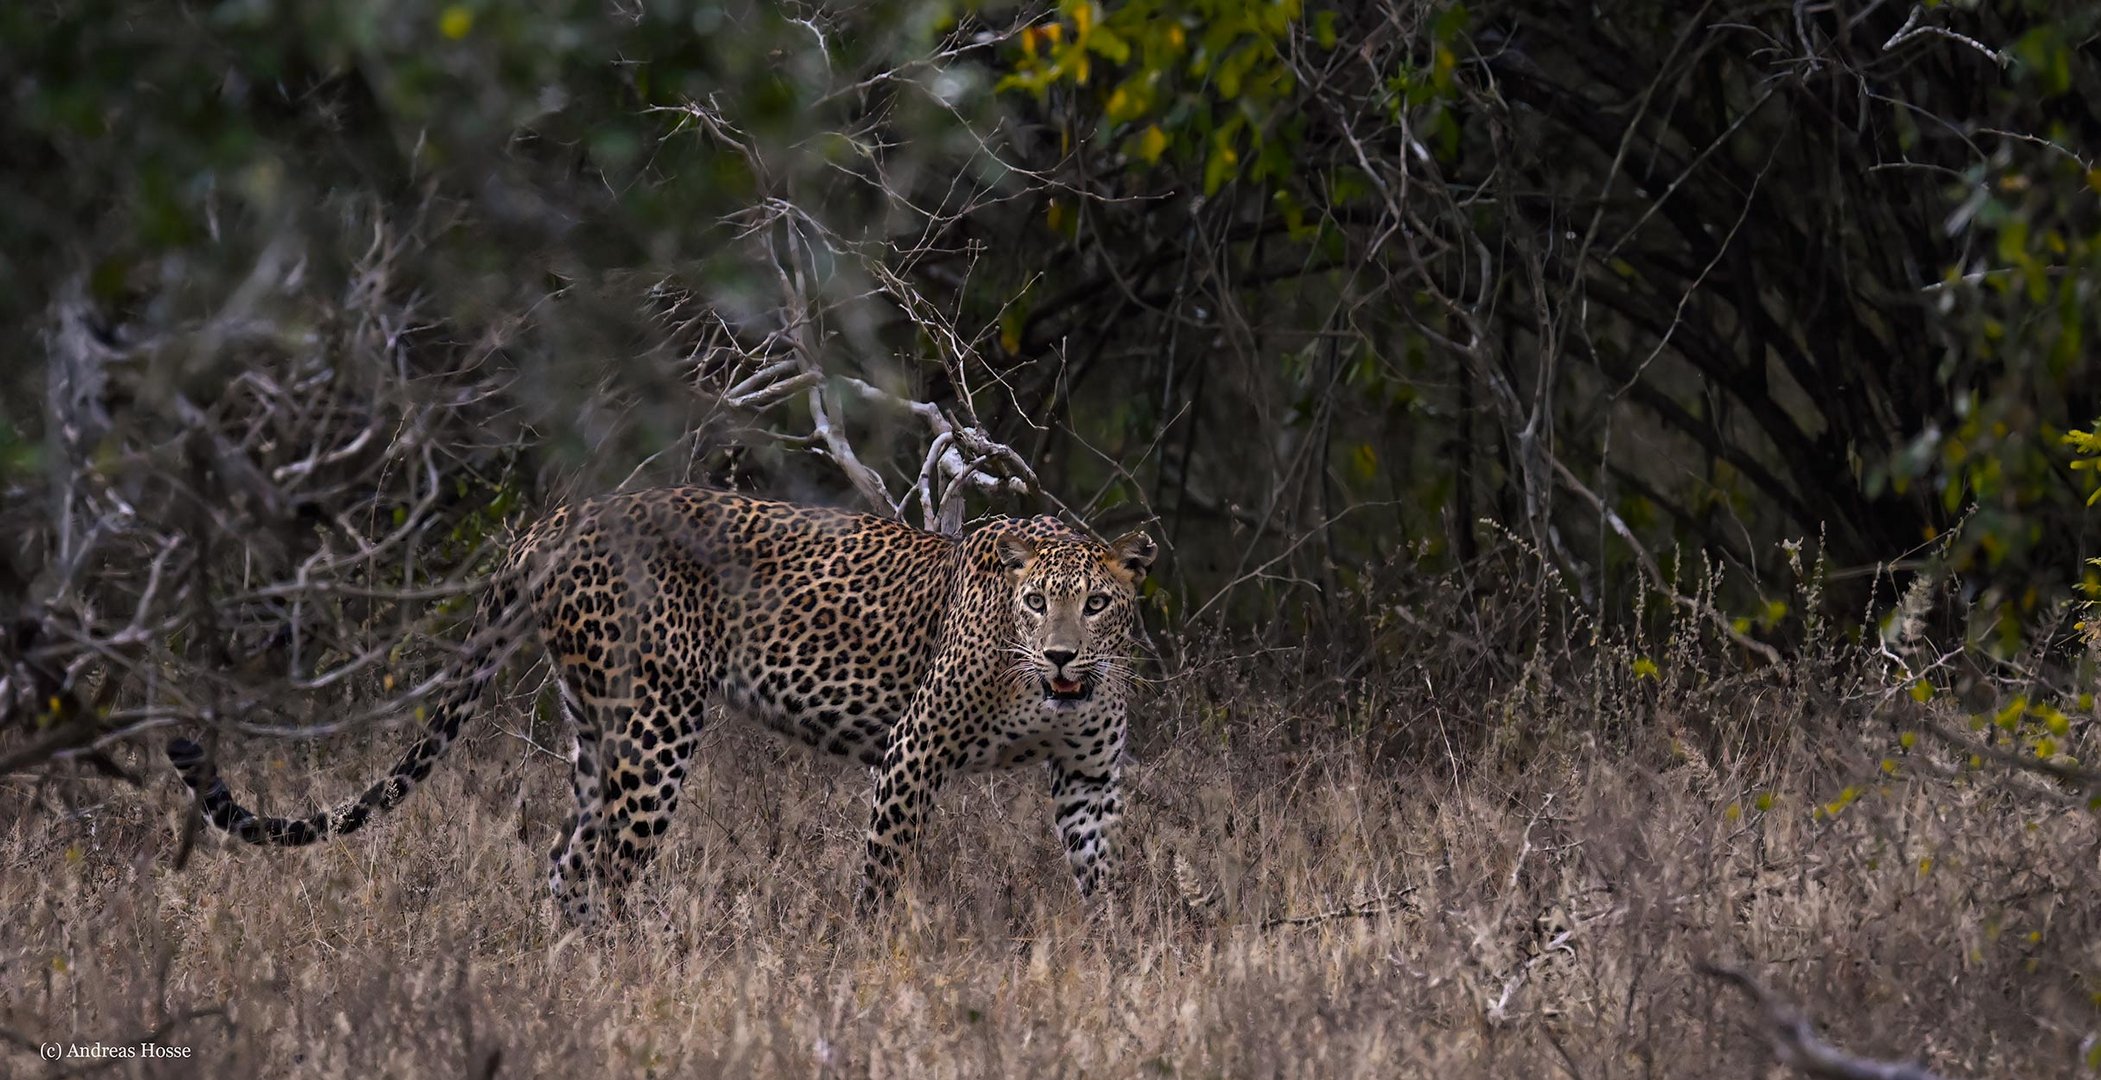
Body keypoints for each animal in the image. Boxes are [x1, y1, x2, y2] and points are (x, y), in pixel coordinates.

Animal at [159, 485, 1151, 916]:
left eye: (1097, 604)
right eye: (1036, 603)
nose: (1062, 654)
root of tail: (558, 518)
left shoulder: (1088, 781)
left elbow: (1098, 872)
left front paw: (1108, 950)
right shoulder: (914, 753)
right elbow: (883, 872)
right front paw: (871, 954)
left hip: (595, 726)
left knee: (566, 859)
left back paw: (571, 970)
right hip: (658, 718)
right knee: (609, 861)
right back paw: (642, 964)